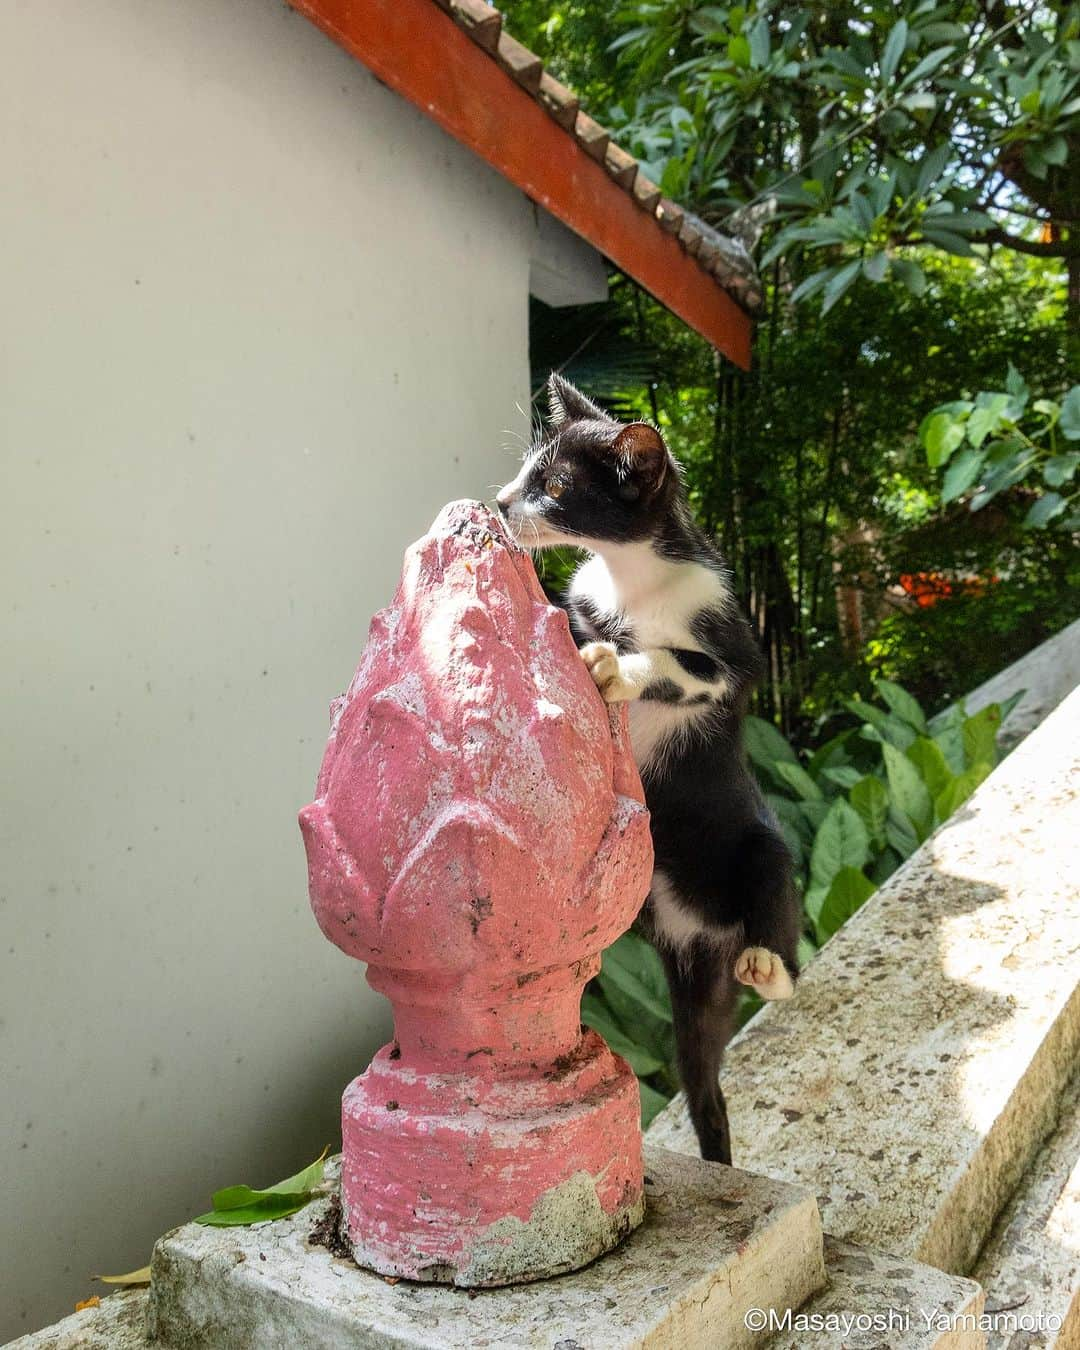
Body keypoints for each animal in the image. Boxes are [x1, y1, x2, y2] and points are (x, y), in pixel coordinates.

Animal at [496, 375, 799, 1166]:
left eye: (556, 485)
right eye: (527, 471)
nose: (502, 502)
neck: (633, 579)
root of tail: (702, 939)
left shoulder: (736, 659)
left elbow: (677, 663)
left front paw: (616, 666)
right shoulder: (584, 601)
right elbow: (570, 619)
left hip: (759, 850)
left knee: (776, 888)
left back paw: (770, 965)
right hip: (682, 978)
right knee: (704, 1083)